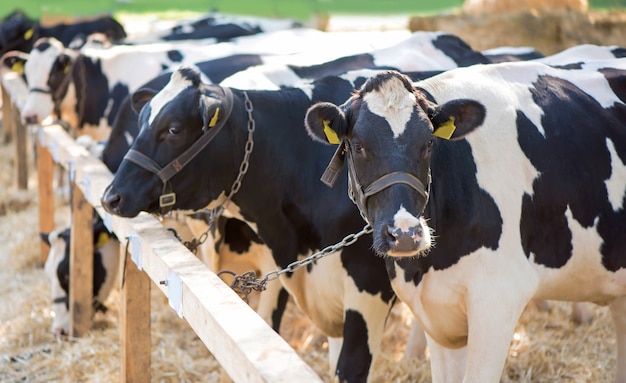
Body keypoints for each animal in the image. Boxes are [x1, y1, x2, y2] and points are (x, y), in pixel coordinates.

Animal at [304, 60, 624, 383]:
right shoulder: (436, 310)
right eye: (357, 145)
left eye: (429, 142)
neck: (427, 267)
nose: (405, 234)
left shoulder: (498, 299)